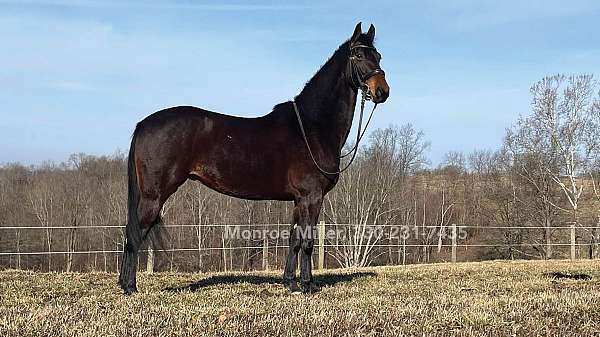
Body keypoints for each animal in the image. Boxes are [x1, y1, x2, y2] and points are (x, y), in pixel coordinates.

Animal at [118, 23, 390, 294]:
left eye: (378, 56)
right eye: (358, 55)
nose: (382, 91)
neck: (311, 127)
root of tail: (143, 124)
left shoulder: (298, 200)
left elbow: (294, 239)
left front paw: (290, 281)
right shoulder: (311, 197)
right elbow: (308, 241)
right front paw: (307, 285)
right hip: (154, 195)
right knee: (135, 232)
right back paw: (130, 287)